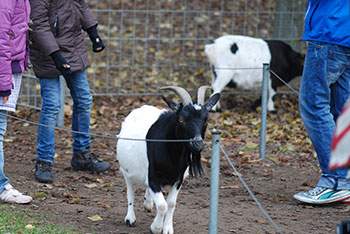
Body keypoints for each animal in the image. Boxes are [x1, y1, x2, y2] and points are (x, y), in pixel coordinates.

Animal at [116, 86, 220, 234]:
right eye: (181, 120)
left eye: (206, 120)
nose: (198, 144)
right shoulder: (153, 178)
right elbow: (162, 205)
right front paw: (156, 228)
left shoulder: (178, 179)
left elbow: (170, 203)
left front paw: (167, 229)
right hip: (126, 170)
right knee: (130, 190)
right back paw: (130, 218)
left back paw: (148, 204)